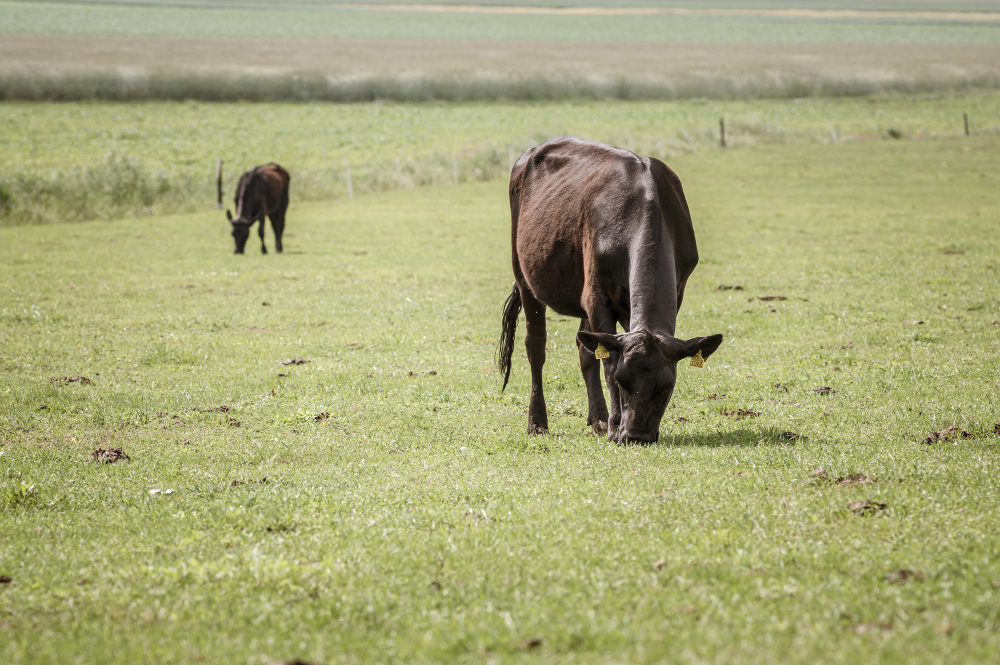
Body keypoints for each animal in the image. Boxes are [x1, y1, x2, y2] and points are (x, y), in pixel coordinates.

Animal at [496, 137, 724, 444]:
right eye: (621, 380)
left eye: (667, 386)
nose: (636, 435)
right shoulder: (597, 295)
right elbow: (608, 361)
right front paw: (616, 426)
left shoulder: (676, 290)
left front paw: (612, 424)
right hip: (523, 273)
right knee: (536, 346)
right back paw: (538, 422)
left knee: (585, 347)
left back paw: (599, 419)